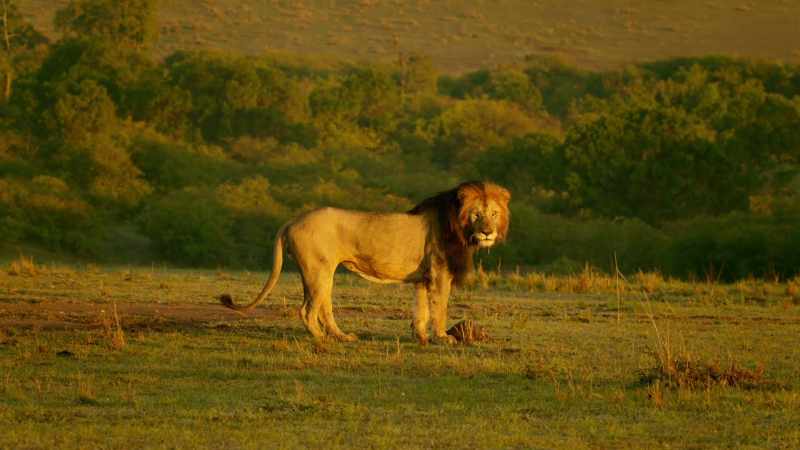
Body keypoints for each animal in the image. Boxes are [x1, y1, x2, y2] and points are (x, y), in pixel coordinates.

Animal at [220, 181, 510, 344]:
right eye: (476, 215)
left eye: (494, 214)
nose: (487, 232)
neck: (459, 227)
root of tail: (293, 219)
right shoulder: (440, 273)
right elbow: (439, 308)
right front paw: (443, 337)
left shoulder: (423, 277)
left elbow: (421, 310)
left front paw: (421, 337)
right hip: (318, 271)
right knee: (307, 310)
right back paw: (322, 339)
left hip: (322, 273)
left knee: (323, 308)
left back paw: (341, 336)